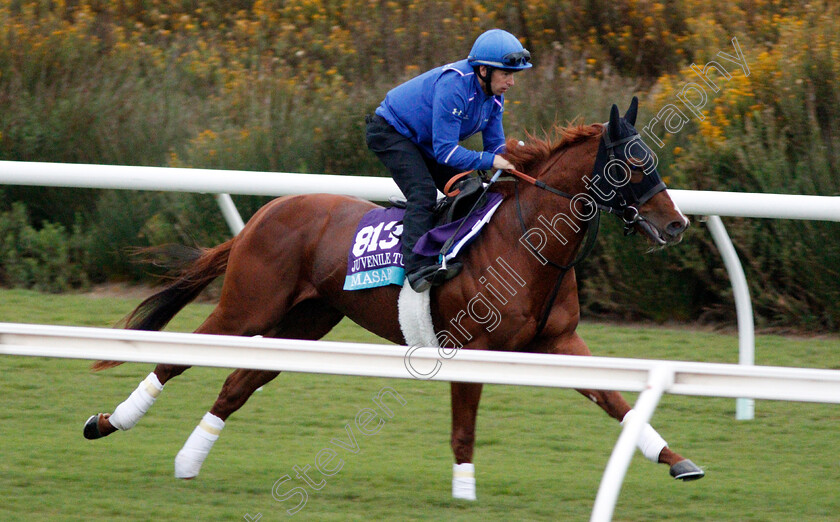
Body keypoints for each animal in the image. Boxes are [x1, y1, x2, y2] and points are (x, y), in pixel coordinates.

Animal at [83, 98, 704, 496]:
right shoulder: (473, 348)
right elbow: (464, 426)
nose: (676, 225)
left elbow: (618, 402)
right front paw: (464, 492)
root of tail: (264, 214)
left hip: (305, 320)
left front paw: (677, 461)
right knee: (179, 357)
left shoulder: (559, 342)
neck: (529, 241)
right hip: (249, 306)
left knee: (238, 382)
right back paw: (108, 423)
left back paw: (188, 461)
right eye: (631, 164)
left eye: (654, 160)